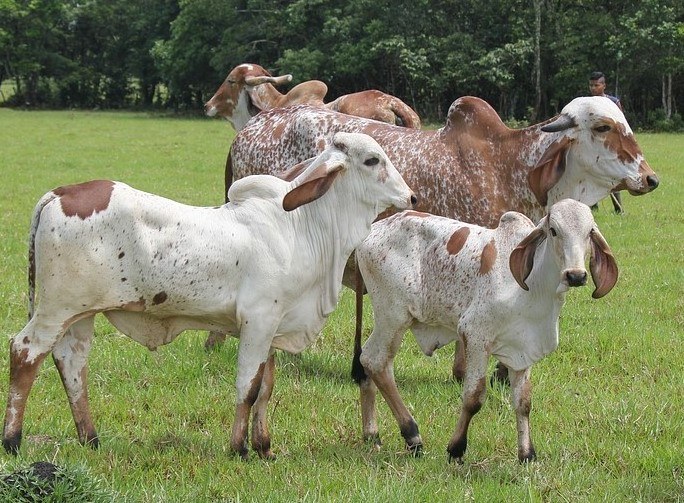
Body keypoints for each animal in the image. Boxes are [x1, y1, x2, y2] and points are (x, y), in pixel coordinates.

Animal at [1, 132, 416, 458]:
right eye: (372, 159)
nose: (411, 196)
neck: (301, 227)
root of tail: (59, 193)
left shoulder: (273, 326)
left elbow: (266, 388)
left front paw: (264, 447)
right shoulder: (258, 321)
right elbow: (248, 387)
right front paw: (239, 448)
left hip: (80, 314)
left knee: (71, 364)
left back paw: (90, 438)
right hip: (55, 309)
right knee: (25, 352)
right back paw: (13, 440)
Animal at [352, 199, 620, 462]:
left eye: (589, 232)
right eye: (554, 230)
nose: (575, 275)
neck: (534, 287)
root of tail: (372, 230)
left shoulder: (523, 347)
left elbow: (523, 401)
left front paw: (527, 454)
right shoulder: (476, 335)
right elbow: (474, 397)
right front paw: (456, 448)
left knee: (369, 362)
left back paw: (371, 433)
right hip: (393, 317)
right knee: (375, 361)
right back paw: (412, 435)